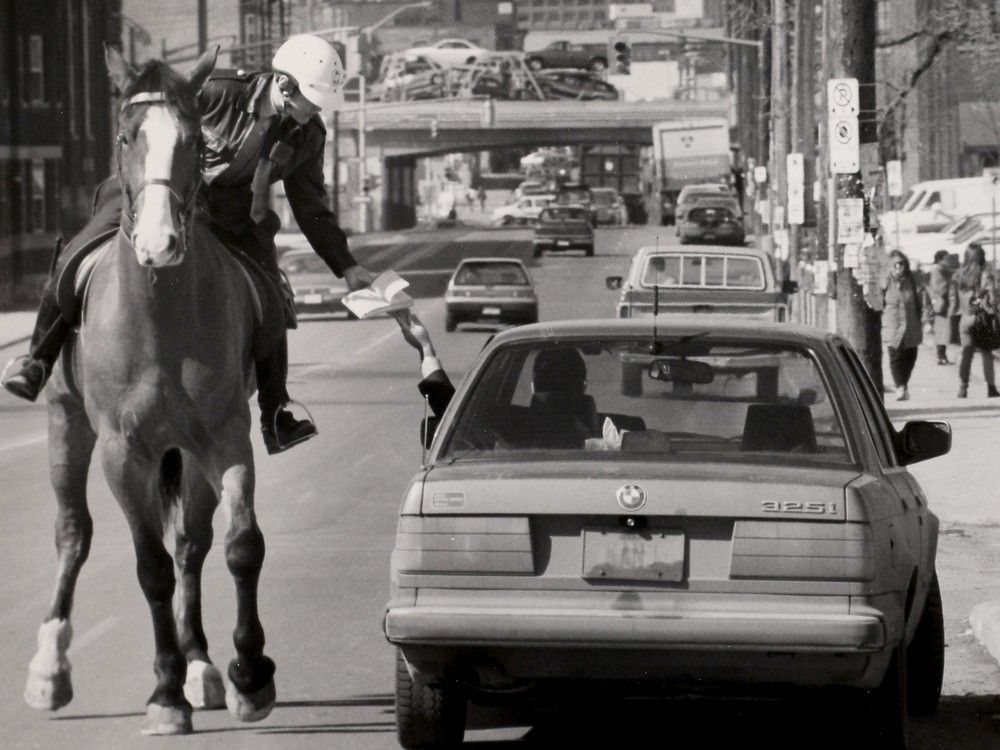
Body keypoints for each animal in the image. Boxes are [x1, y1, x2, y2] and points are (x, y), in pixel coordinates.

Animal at [22, 45, 278, 736]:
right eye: (125, 136)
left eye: (194, 141)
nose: (159, 244)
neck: (160, 310)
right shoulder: (122, 451)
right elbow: (150, 567)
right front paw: (164, 694)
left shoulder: (224, 437)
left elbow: (240, 545)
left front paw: (249, 674)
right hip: (66, 424)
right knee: (73, 533)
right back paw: (50, 669)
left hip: (186, 452)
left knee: (191, 544)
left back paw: (202, 666)